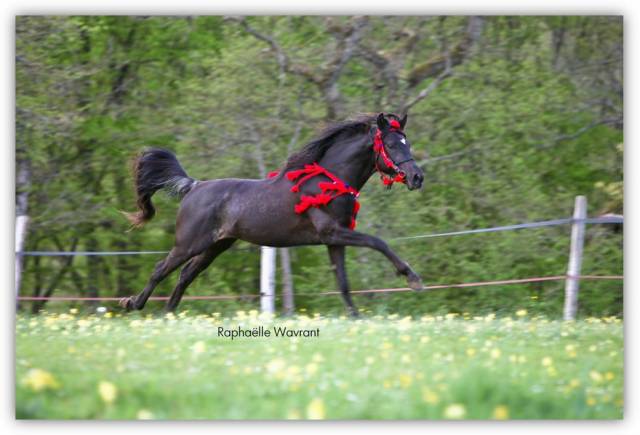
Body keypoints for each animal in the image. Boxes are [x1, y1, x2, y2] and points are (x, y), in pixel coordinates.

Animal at [122, 112, 428, 316]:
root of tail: (193, 186)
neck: (329, 181)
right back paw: (133, 304)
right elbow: (379, 242)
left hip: (216, 245)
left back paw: (169, 314)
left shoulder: (334, 241)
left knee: (185, 274)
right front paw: (412, 278)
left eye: (407, 143)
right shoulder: (333, 233)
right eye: (391, 145)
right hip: (189, 243)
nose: (417, 177)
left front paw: (355, 318)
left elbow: (343, 282)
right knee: (161, 269)